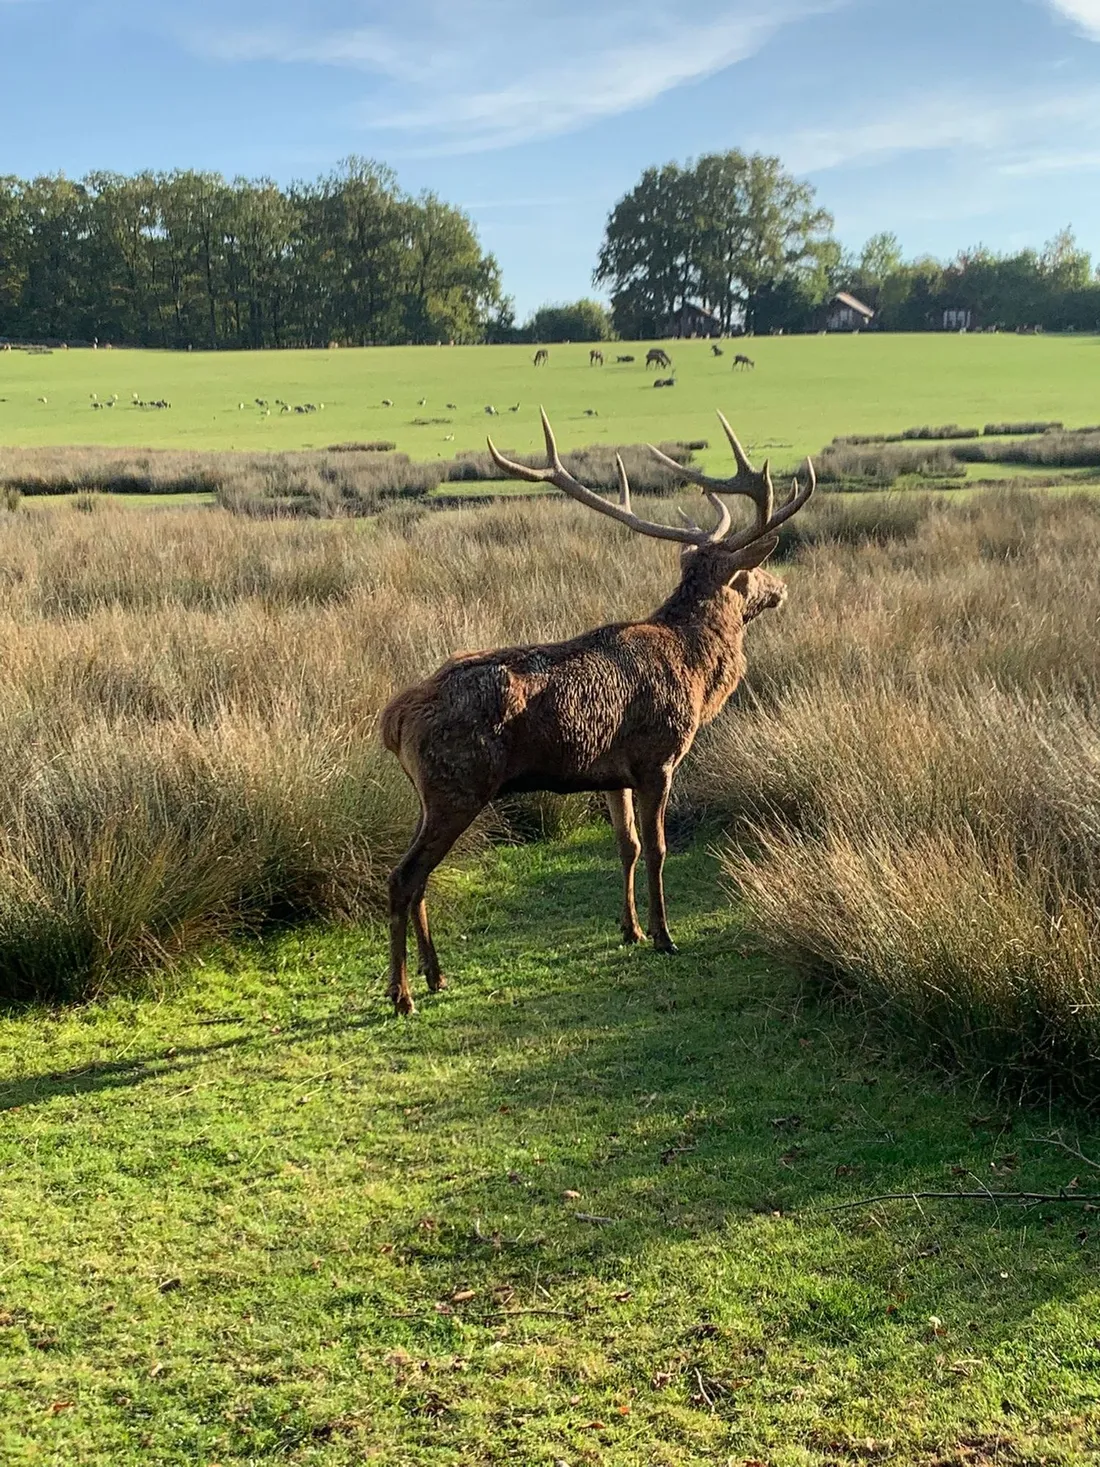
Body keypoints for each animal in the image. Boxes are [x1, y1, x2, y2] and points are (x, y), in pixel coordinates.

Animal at [380, 409, 815, 1014]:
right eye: (750, 574)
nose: (783, 586)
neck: (698, 674)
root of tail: (392, 721)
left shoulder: (613, 773)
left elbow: (625, 846)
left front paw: (629, 929)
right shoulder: (659, 756)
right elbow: (656, 848)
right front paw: (664, 935)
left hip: (432, 792)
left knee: (418, 878)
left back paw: (435, 975)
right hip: (457, 783)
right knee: (404, 877)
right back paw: (402, 994)